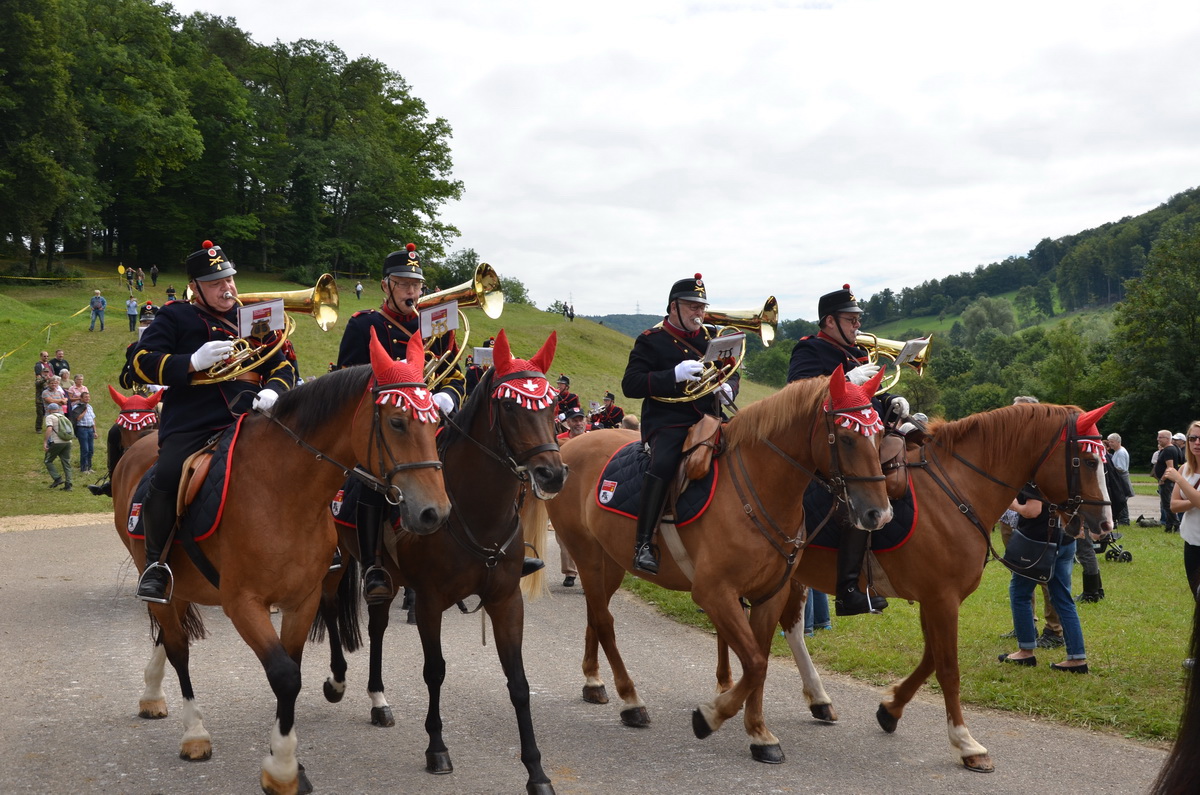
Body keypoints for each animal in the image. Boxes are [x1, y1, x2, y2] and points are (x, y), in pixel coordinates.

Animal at [112, 329, 450, 795]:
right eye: (397, 422)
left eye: (436, 421)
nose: (435, 512)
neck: (284, 490)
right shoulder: (243, 604)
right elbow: (284, 675)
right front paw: (283, 770)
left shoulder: (301, 599)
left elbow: (291, 672)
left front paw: (287, 757)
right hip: (162, 576)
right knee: (179, 647)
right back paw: (194, 732)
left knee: (170, 635)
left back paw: (152, 693)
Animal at [313, 329, 568, 795]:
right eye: (510, 406)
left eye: (553, 404)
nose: (552, 475)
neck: (477, 514)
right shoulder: (431, 602)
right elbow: (435, 671)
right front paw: (437, 748)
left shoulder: (506, 601)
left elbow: (519, 683)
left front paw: (536, 772)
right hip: (333, 563)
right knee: (329, 607)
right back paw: (337, 679)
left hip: (388, 578)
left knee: (376, 627)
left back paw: (378, 700)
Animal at [539, 369, 894, 763]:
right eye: (846, 438)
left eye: (880, 434)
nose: (880, 514)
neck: (761, 488)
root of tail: (567, 449)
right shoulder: (714, 593)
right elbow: (755, 663)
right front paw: (712, 716)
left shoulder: (770, 593)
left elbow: (760, 663)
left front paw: (759, 733)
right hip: (586, 554)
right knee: (604, 621)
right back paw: (631, 700)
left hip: (610, 563)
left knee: (595, 613)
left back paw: (593, 681)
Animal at [715, 401, 1116, 772]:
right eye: (1088, 461)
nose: (1104, 524)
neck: (957, 489)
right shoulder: (942, 599)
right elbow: (948, 668)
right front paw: (966, 743)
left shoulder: (934, 599)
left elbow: (931, 659)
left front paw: (890, 709)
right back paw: (731, 691)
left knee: (781, 628)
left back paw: (808, 698)